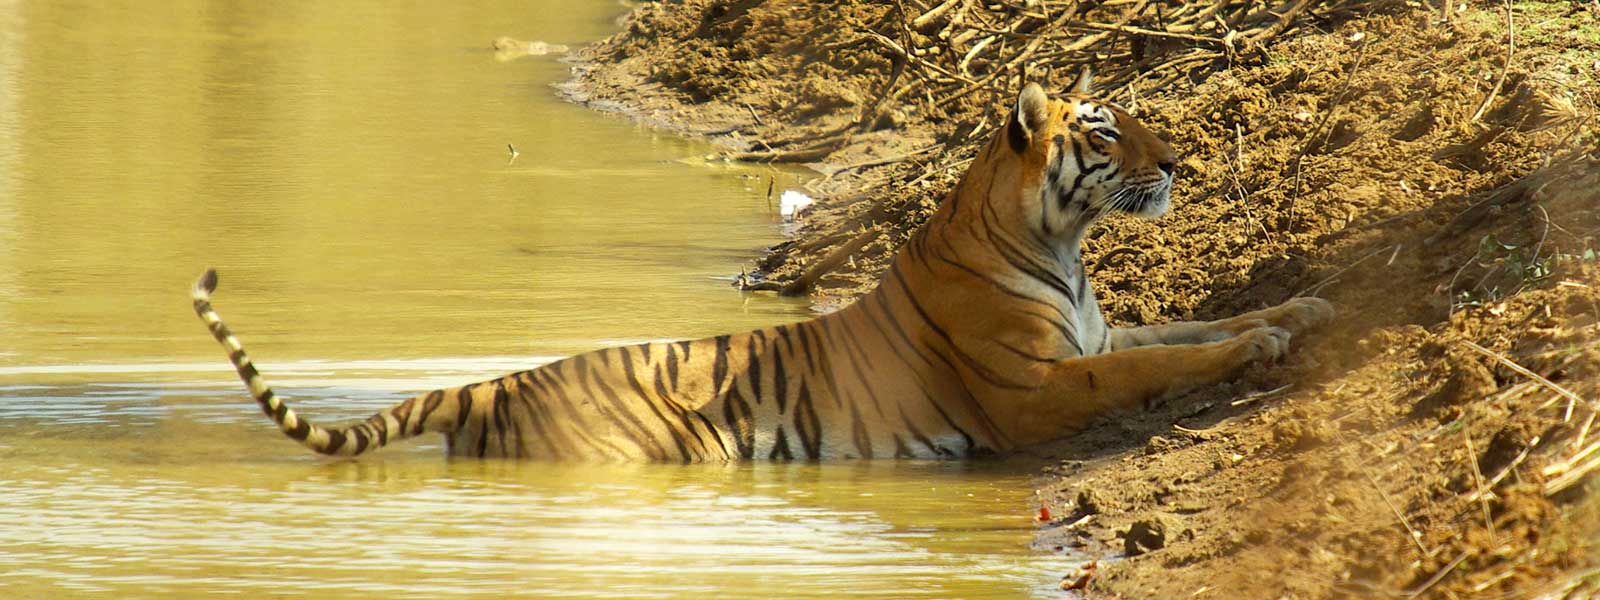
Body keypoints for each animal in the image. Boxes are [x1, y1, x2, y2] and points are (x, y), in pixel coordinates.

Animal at [193, 71, 1331, 464]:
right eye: (1105, 131)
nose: (1176, 162)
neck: (1061, 246)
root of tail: (499, 383)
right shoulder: (1039, 388)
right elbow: (1161, 363)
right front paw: (1268, 340)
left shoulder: (1096, 332)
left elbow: (1190, 326)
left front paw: (1305, 308)